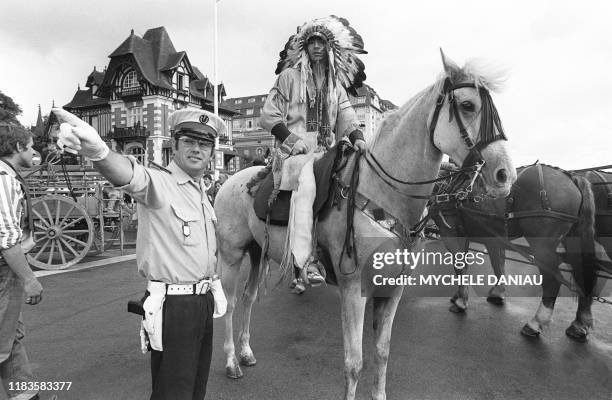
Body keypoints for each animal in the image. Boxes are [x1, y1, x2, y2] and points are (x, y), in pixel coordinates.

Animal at [215, 52, 516, 400]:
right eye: (468, 105)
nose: (505, 175)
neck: (382, 193)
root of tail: (232, 181)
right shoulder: (353, 290)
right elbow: (354, 362)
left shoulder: (392, 290)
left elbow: (382, 352)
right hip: (231, 255)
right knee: (230, 303)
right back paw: (231, 361)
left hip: (257, 252)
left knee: (249, 298)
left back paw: (246, 352)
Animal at [430, 164, 596, 342]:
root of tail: (571, 177)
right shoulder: (487, 238)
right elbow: (496, 264)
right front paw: (495, 292)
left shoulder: (450, 234)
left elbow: (460, 267)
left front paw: (461, 302)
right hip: (573, 240)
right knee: (581, 272)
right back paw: (579, 324)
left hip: (542, 246)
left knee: (552, 281)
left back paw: (536, 323)